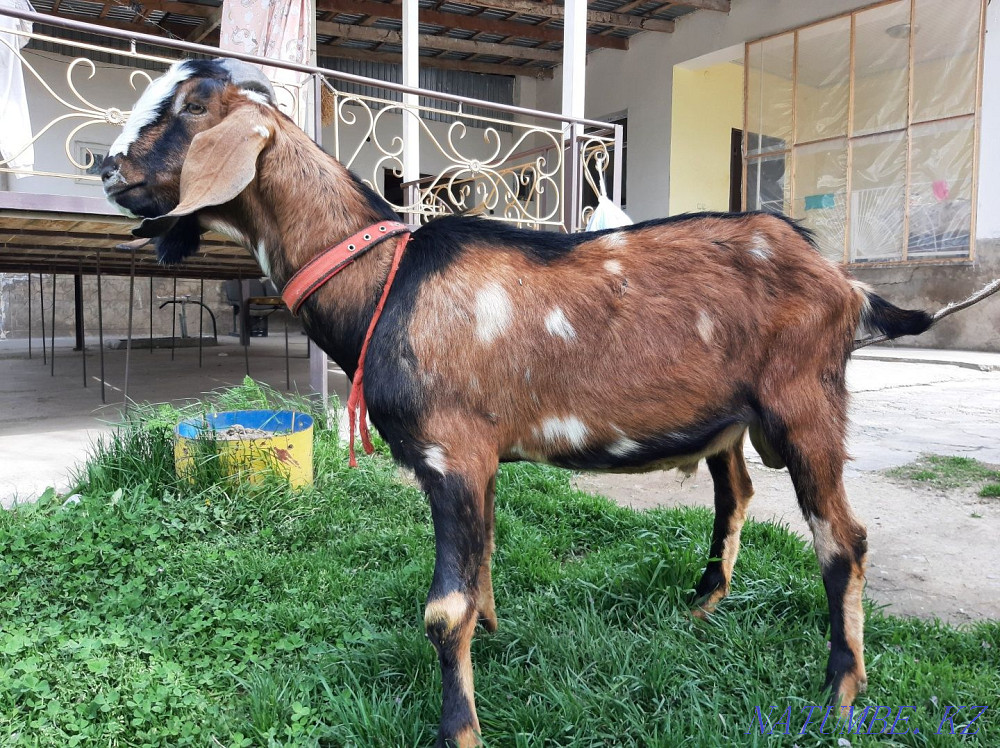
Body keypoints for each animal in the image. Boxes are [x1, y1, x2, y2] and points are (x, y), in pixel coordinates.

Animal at [101, 59, 933, 747]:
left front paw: (460, 731)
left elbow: (443, 609)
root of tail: (843, 283)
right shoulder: (477, 460)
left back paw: (840, 695)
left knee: (842, 541)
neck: (386, 280)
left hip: (805, 404)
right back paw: (703, 607)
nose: (105, 167)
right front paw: (494, 635)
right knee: (738, 495)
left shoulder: (452, 451)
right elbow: (482, 567)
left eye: (193, 106)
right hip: (735, 420)